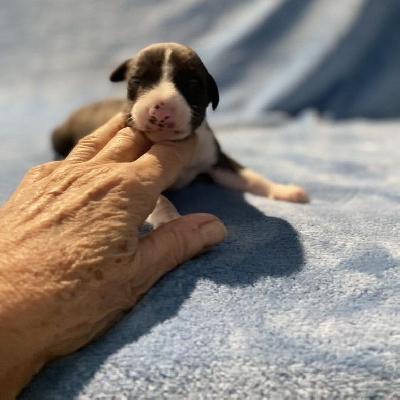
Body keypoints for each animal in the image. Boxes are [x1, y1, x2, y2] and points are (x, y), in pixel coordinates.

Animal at [51, 43, 308, 228]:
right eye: (136, 81)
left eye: (192, 83)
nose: (161, 110)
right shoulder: (138, 171)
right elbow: (159, 198)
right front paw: (170, 220)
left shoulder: (216, 159)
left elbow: (247, 175)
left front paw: (283, 189)